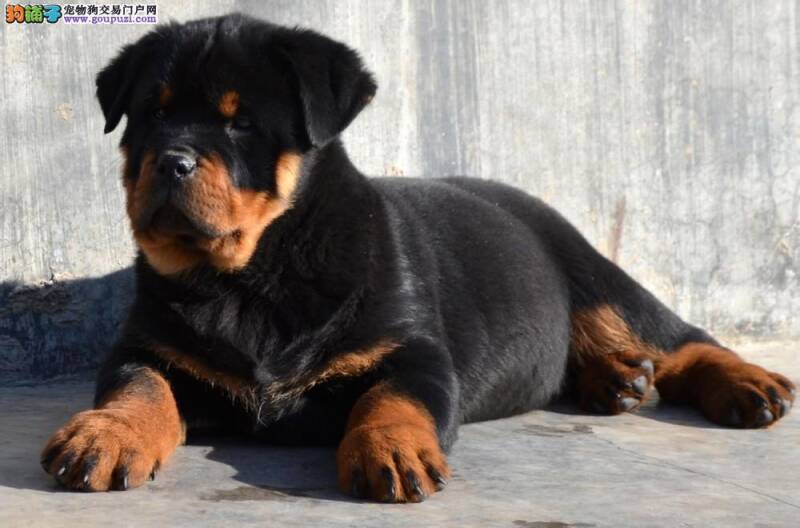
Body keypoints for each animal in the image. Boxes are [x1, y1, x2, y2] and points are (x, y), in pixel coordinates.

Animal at [41, 14, 795, 502]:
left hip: (592, 270)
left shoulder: (413, 350)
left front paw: (392, 449)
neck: (253, 276)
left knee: (676, 336)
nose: (169, 161)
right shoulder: (146, 346)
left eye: (241, 122)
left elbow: (393, 397)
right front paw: (104, 435)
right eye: (151, 116)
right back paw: (616, 380)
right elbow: (139, 387)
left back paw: (746, 384)